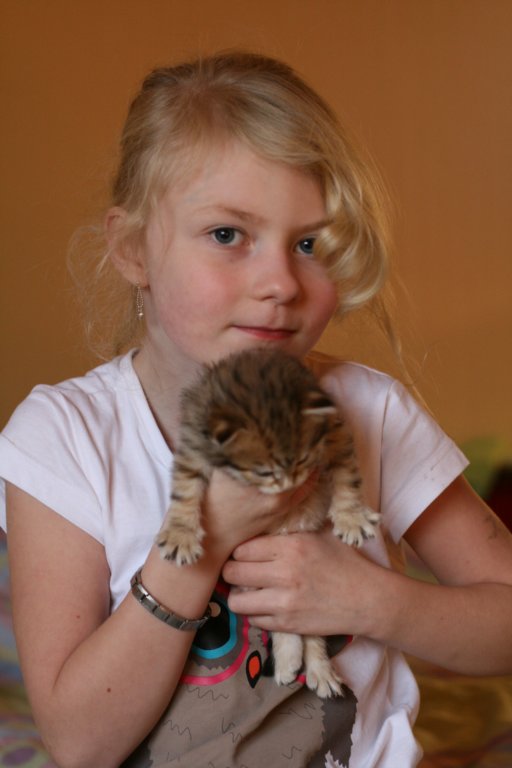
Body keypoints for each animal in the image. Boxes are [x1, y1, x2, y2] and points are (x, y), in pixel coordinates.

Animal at [155, 348, 380, 698]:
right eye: (262, 472)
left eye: (303, 460)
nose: (289, 483)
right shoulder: (194, 445)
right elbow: (185, 490)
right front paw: (180, 535)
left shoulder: (334, 431)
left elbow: (348, 474)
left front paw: (352, 516)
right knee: (282, 625)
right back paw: (289, 663)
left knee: (306, 628)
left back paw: (317, 670)